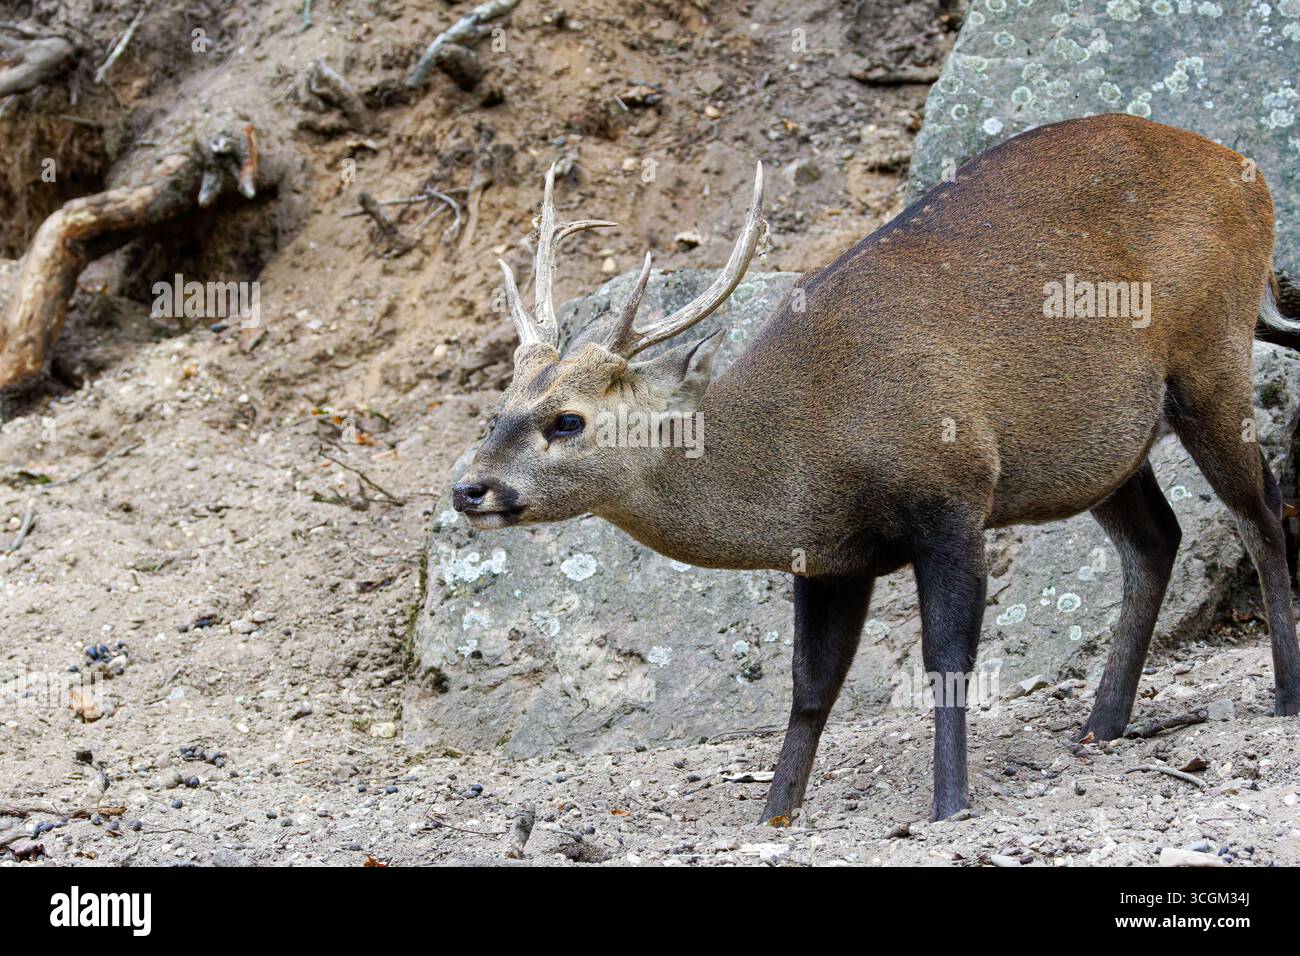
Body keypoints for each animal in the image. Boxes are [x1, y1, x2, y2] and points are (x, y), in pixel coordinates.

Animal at [451, 113, 1300, 822]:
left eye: (568, 419)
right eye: (499, 405)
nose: (467, 487)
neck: (815, 448)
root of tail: (1250, 172)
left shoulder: (952, 491)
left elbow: (946, 657)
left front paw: (949, 804)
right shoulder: (829, 559)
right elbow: (810, 686)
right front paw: (776, 812)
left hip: (1212, 357)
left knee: (1260, 512)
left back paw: (1282, 697)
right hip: (1105, 445)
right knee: (1158, 538)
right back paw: (1102, 724)